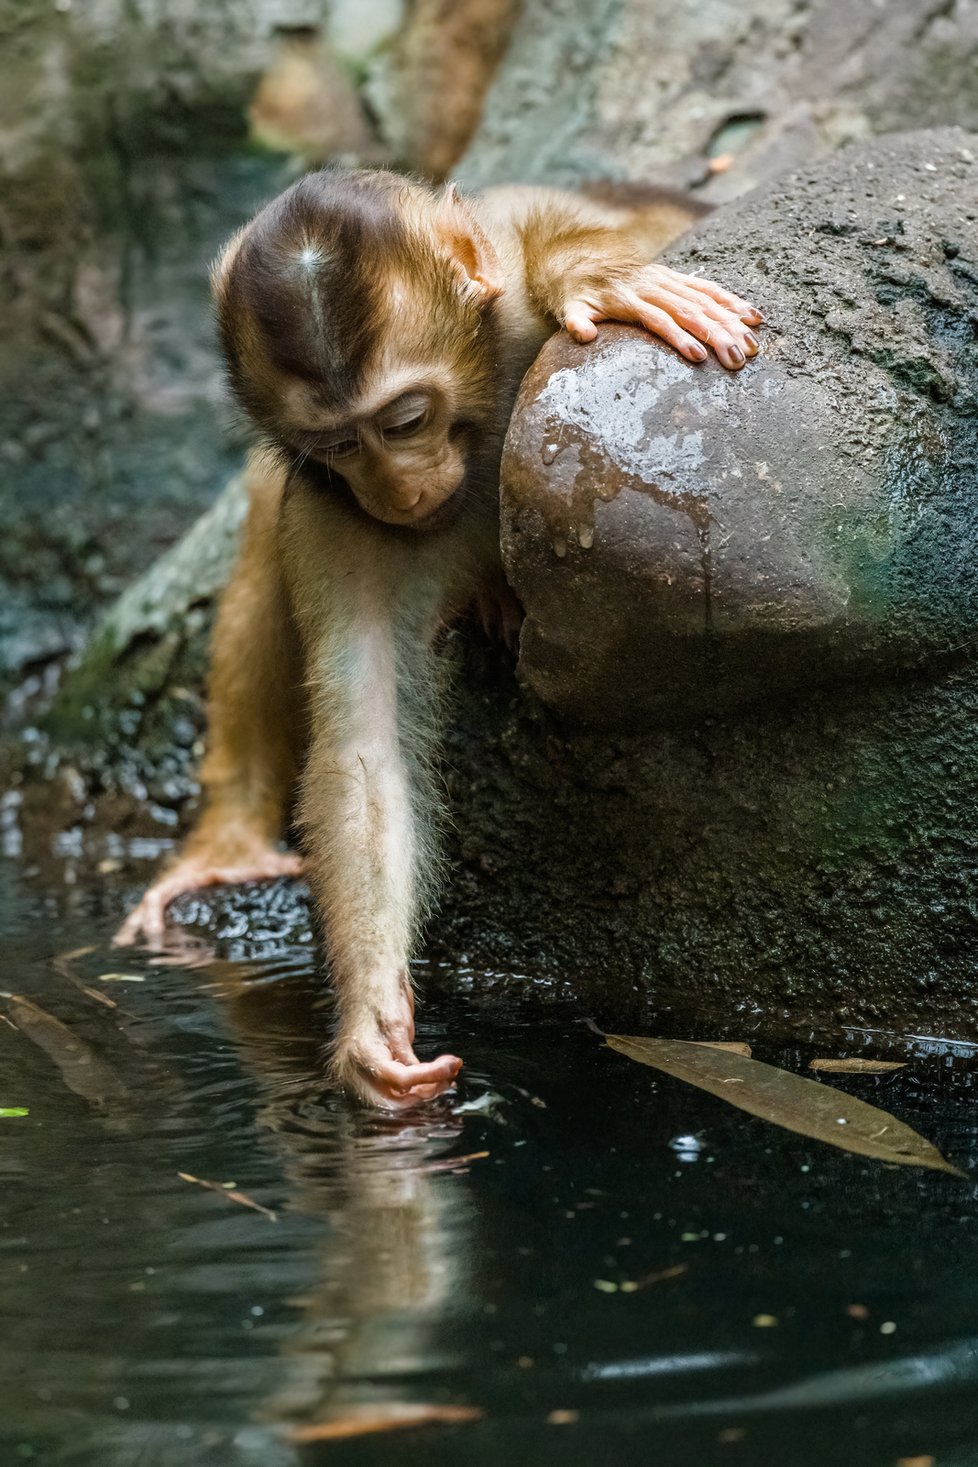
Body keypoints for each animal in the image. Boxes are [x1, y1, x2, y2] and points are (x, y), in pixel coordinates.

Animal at [118, 166, 762, 1103]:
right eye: (340, 444)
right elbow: (365, 749)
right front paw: (372, 1022)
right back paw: (227, 843)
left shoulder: (508, 265)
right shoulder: (329, 516)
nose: (397, 486)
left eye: (405, 420)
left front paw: (592, 275)